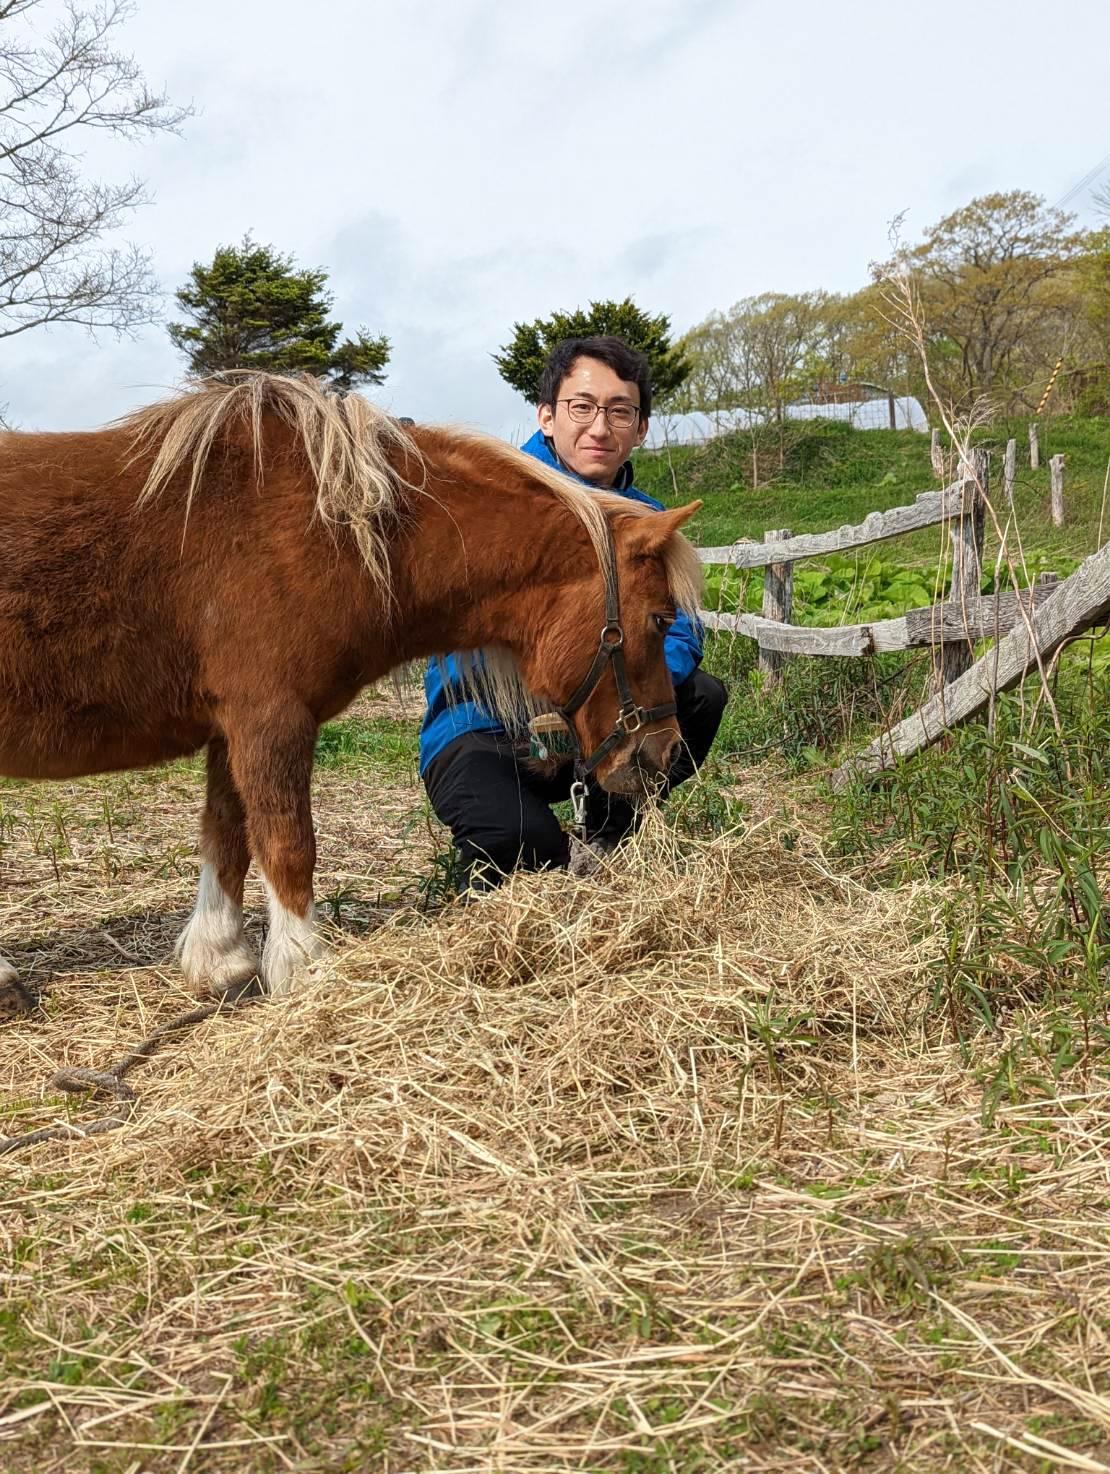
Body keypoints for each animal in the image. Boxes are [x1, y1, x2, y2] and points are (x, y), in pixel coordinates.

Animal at [0, 371, 701, 1002]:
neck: (330, 528)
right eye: (660, 618)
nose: (668, 752)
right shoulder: (270, 717)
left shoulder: (232, 726)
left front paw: (222, 961)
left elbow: (226, 837)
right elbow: (286, 844)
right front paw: (305, 968)